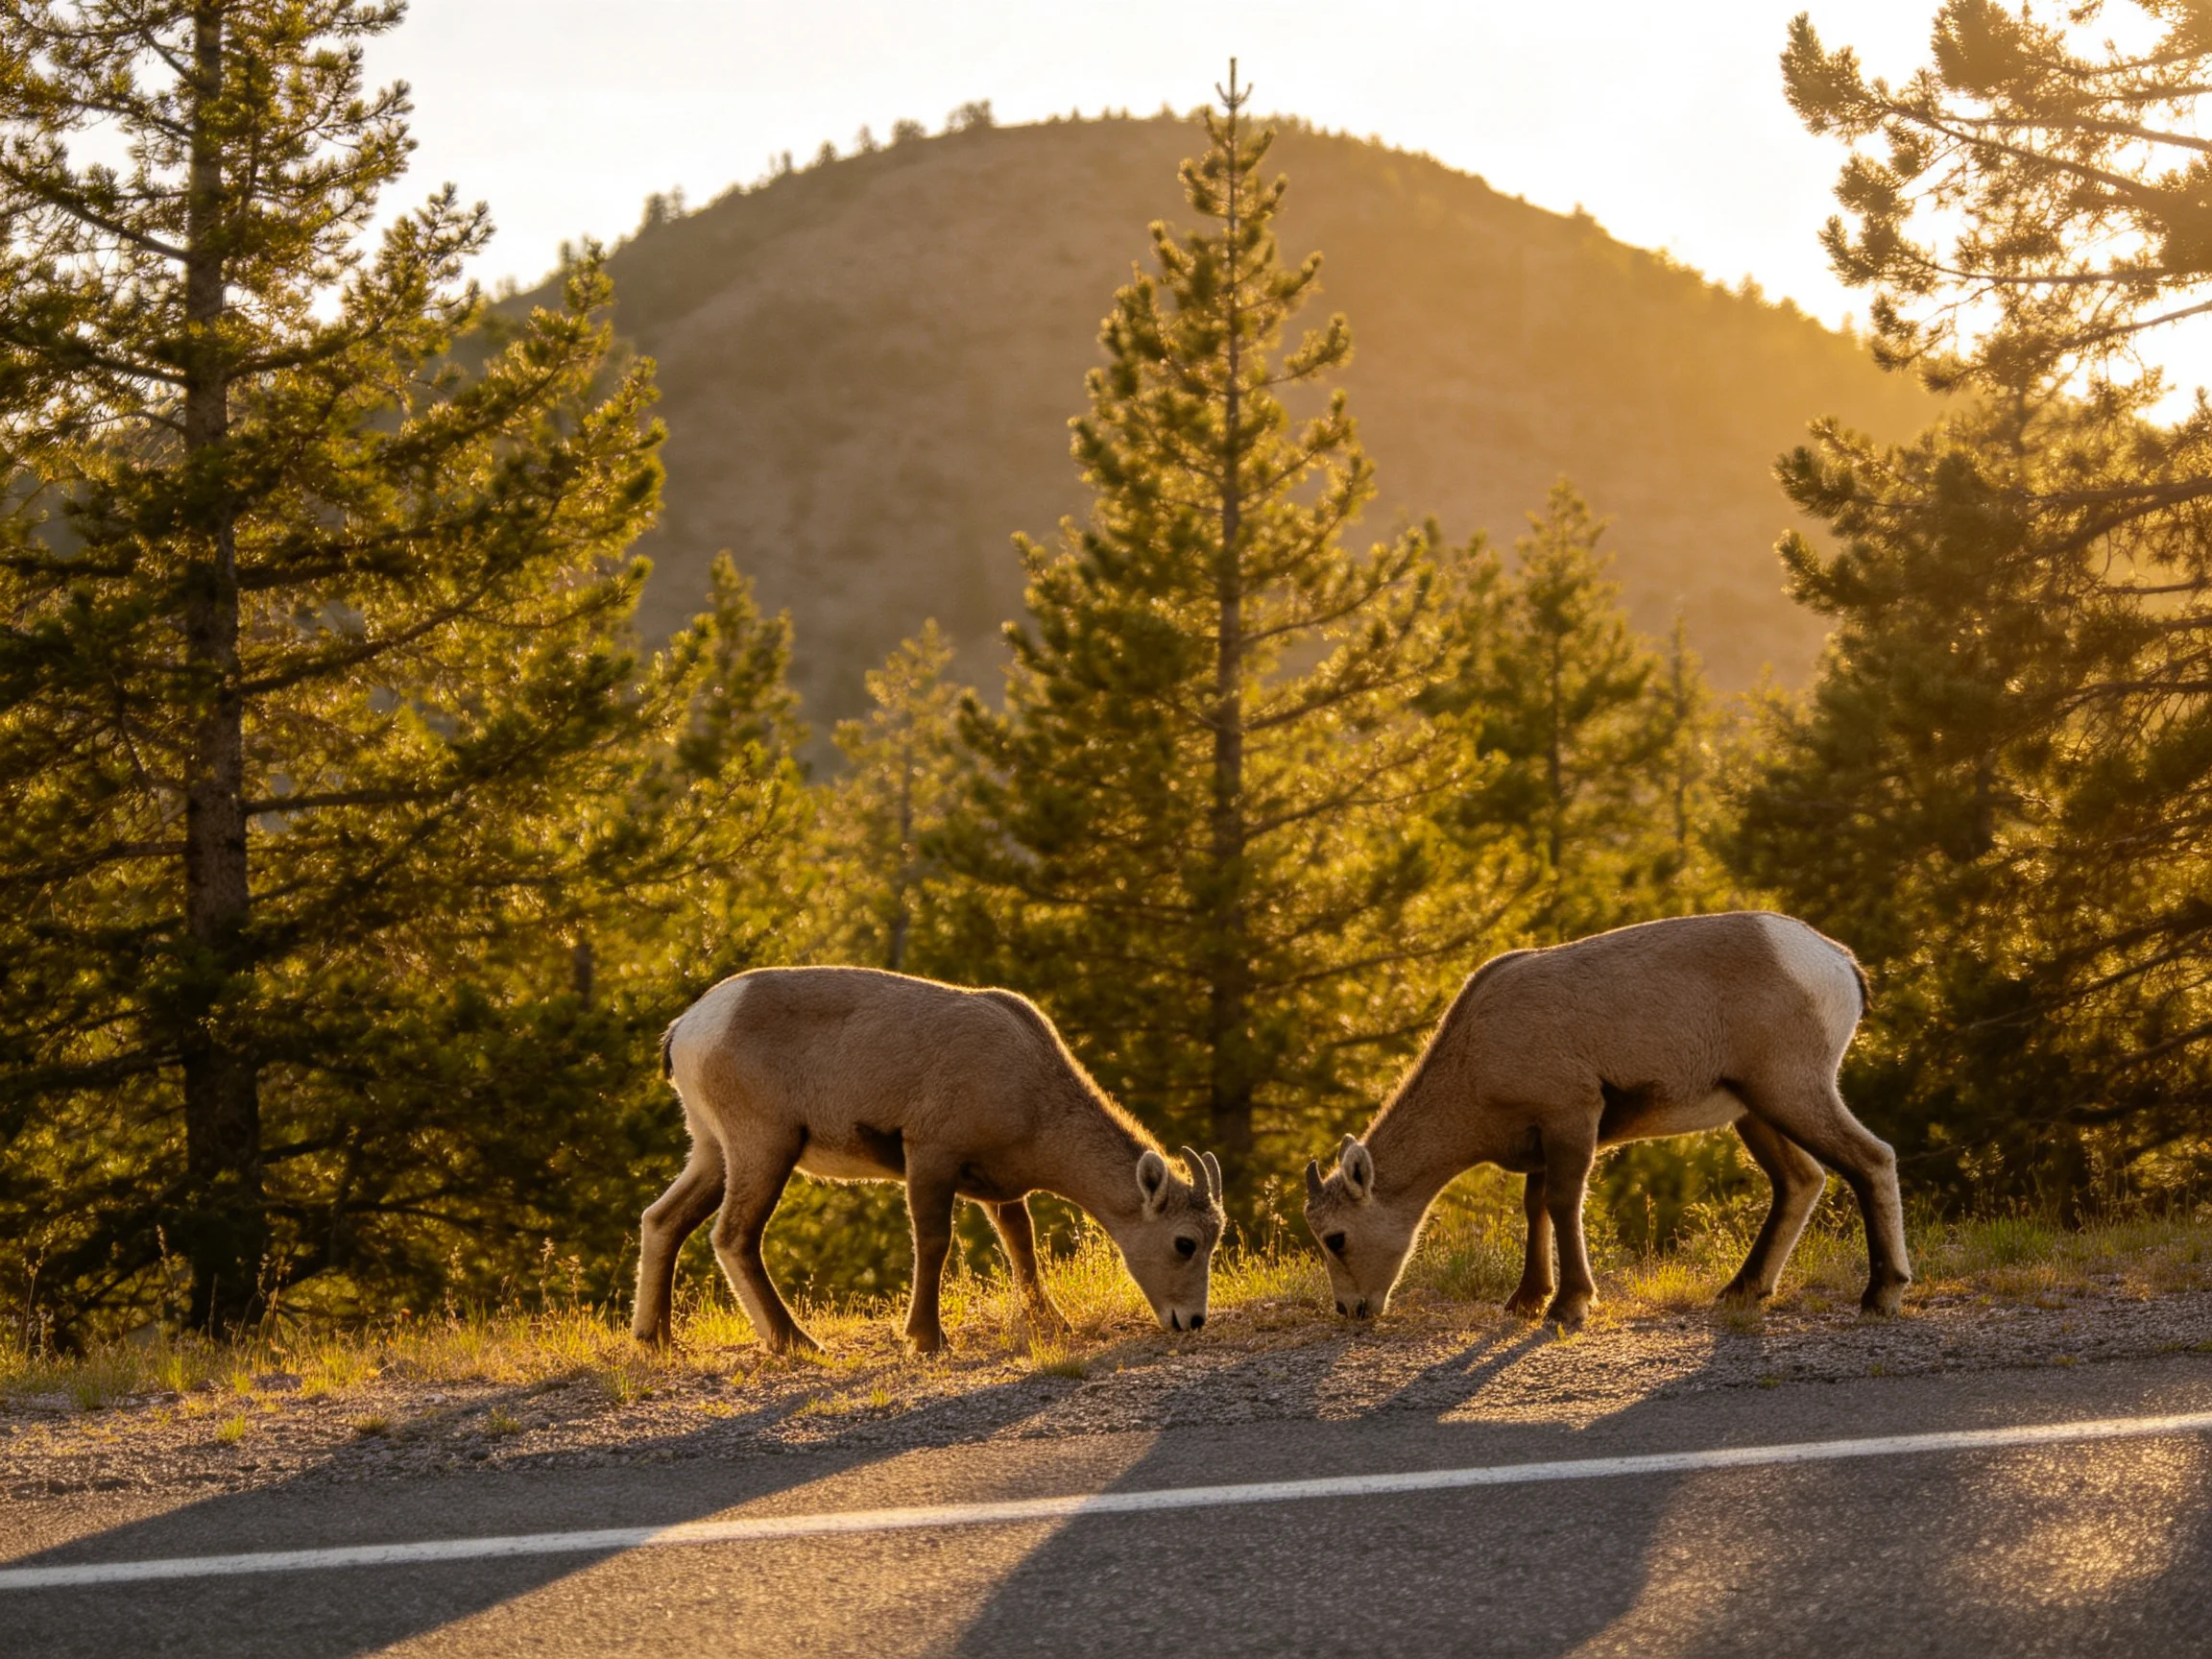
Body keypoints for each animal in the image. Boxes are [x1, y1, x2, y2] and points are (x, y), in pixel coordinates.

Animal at [634, 966, 1225, 1354]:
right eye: (1184, 1243)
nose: (1191, 1320)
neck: (1030, 1089)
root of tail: (688, 1028)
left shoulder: (998, 1189)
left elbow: (1021, 1242)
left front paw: (1052, 1322)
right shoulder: (930, 1157)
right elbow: (934, 1242)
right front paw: (926, 1339)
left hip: (712, 1151)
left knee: (663, 1220)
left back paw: (656, 1340)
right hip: (764, 1147)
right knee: (734, 1237)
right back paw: (799, 1343)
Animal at [1302, 911, 1909, 1331]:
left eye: (1336, 1238)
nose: (1352, 1309)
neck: (1478, 1050)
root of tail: (1838, 963)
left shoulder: (1572, 1117)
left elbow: (1562, 1204)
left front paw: (1568, 1307)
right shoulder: (1540, 1141)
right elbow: (1535, 1209)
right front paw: (1526, 1300)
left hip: (1791, 1091)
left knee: (1872, 1159)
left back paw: (1880, 1296)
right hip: (1756, 1111)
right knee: (1801, 1180)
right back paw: (1742, 1291)